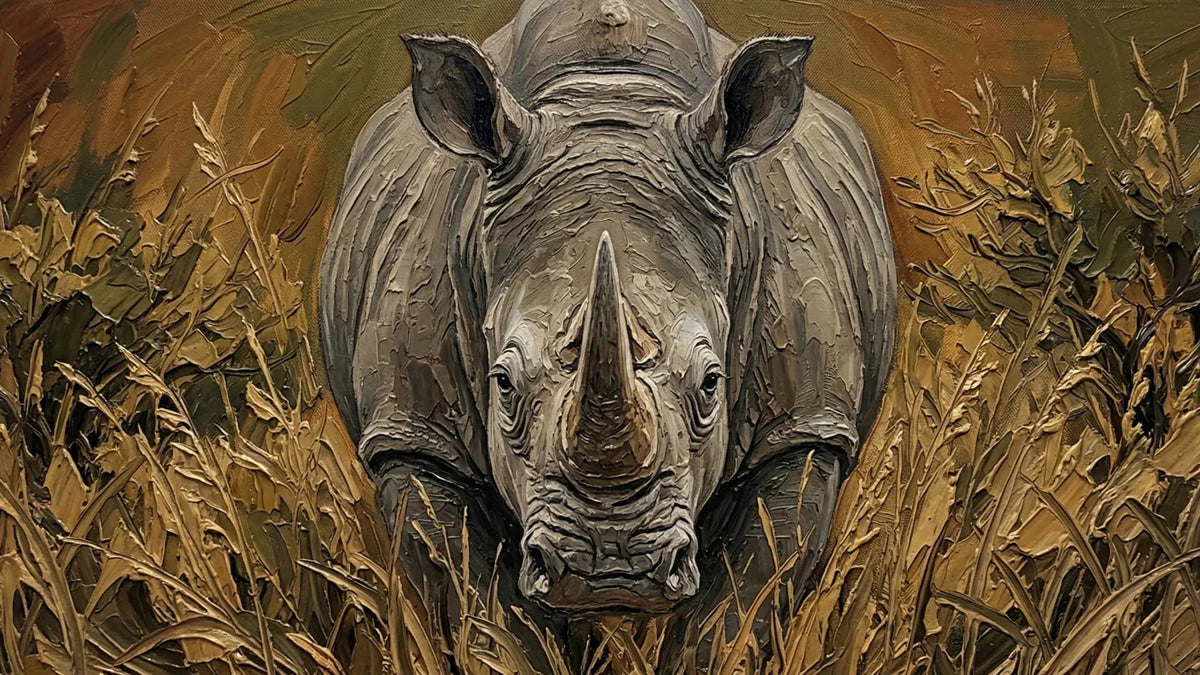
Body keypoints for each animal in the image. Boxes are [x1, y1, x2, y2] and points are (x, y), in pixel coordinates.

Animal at [320, 0, 896, 658]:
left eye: (711, 382)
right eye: (503, 383)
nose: (609, 569)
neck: (609, 97)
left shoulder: (804, 425)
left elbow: (740, 609)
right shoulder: (414, 433)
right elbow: (481, 613)